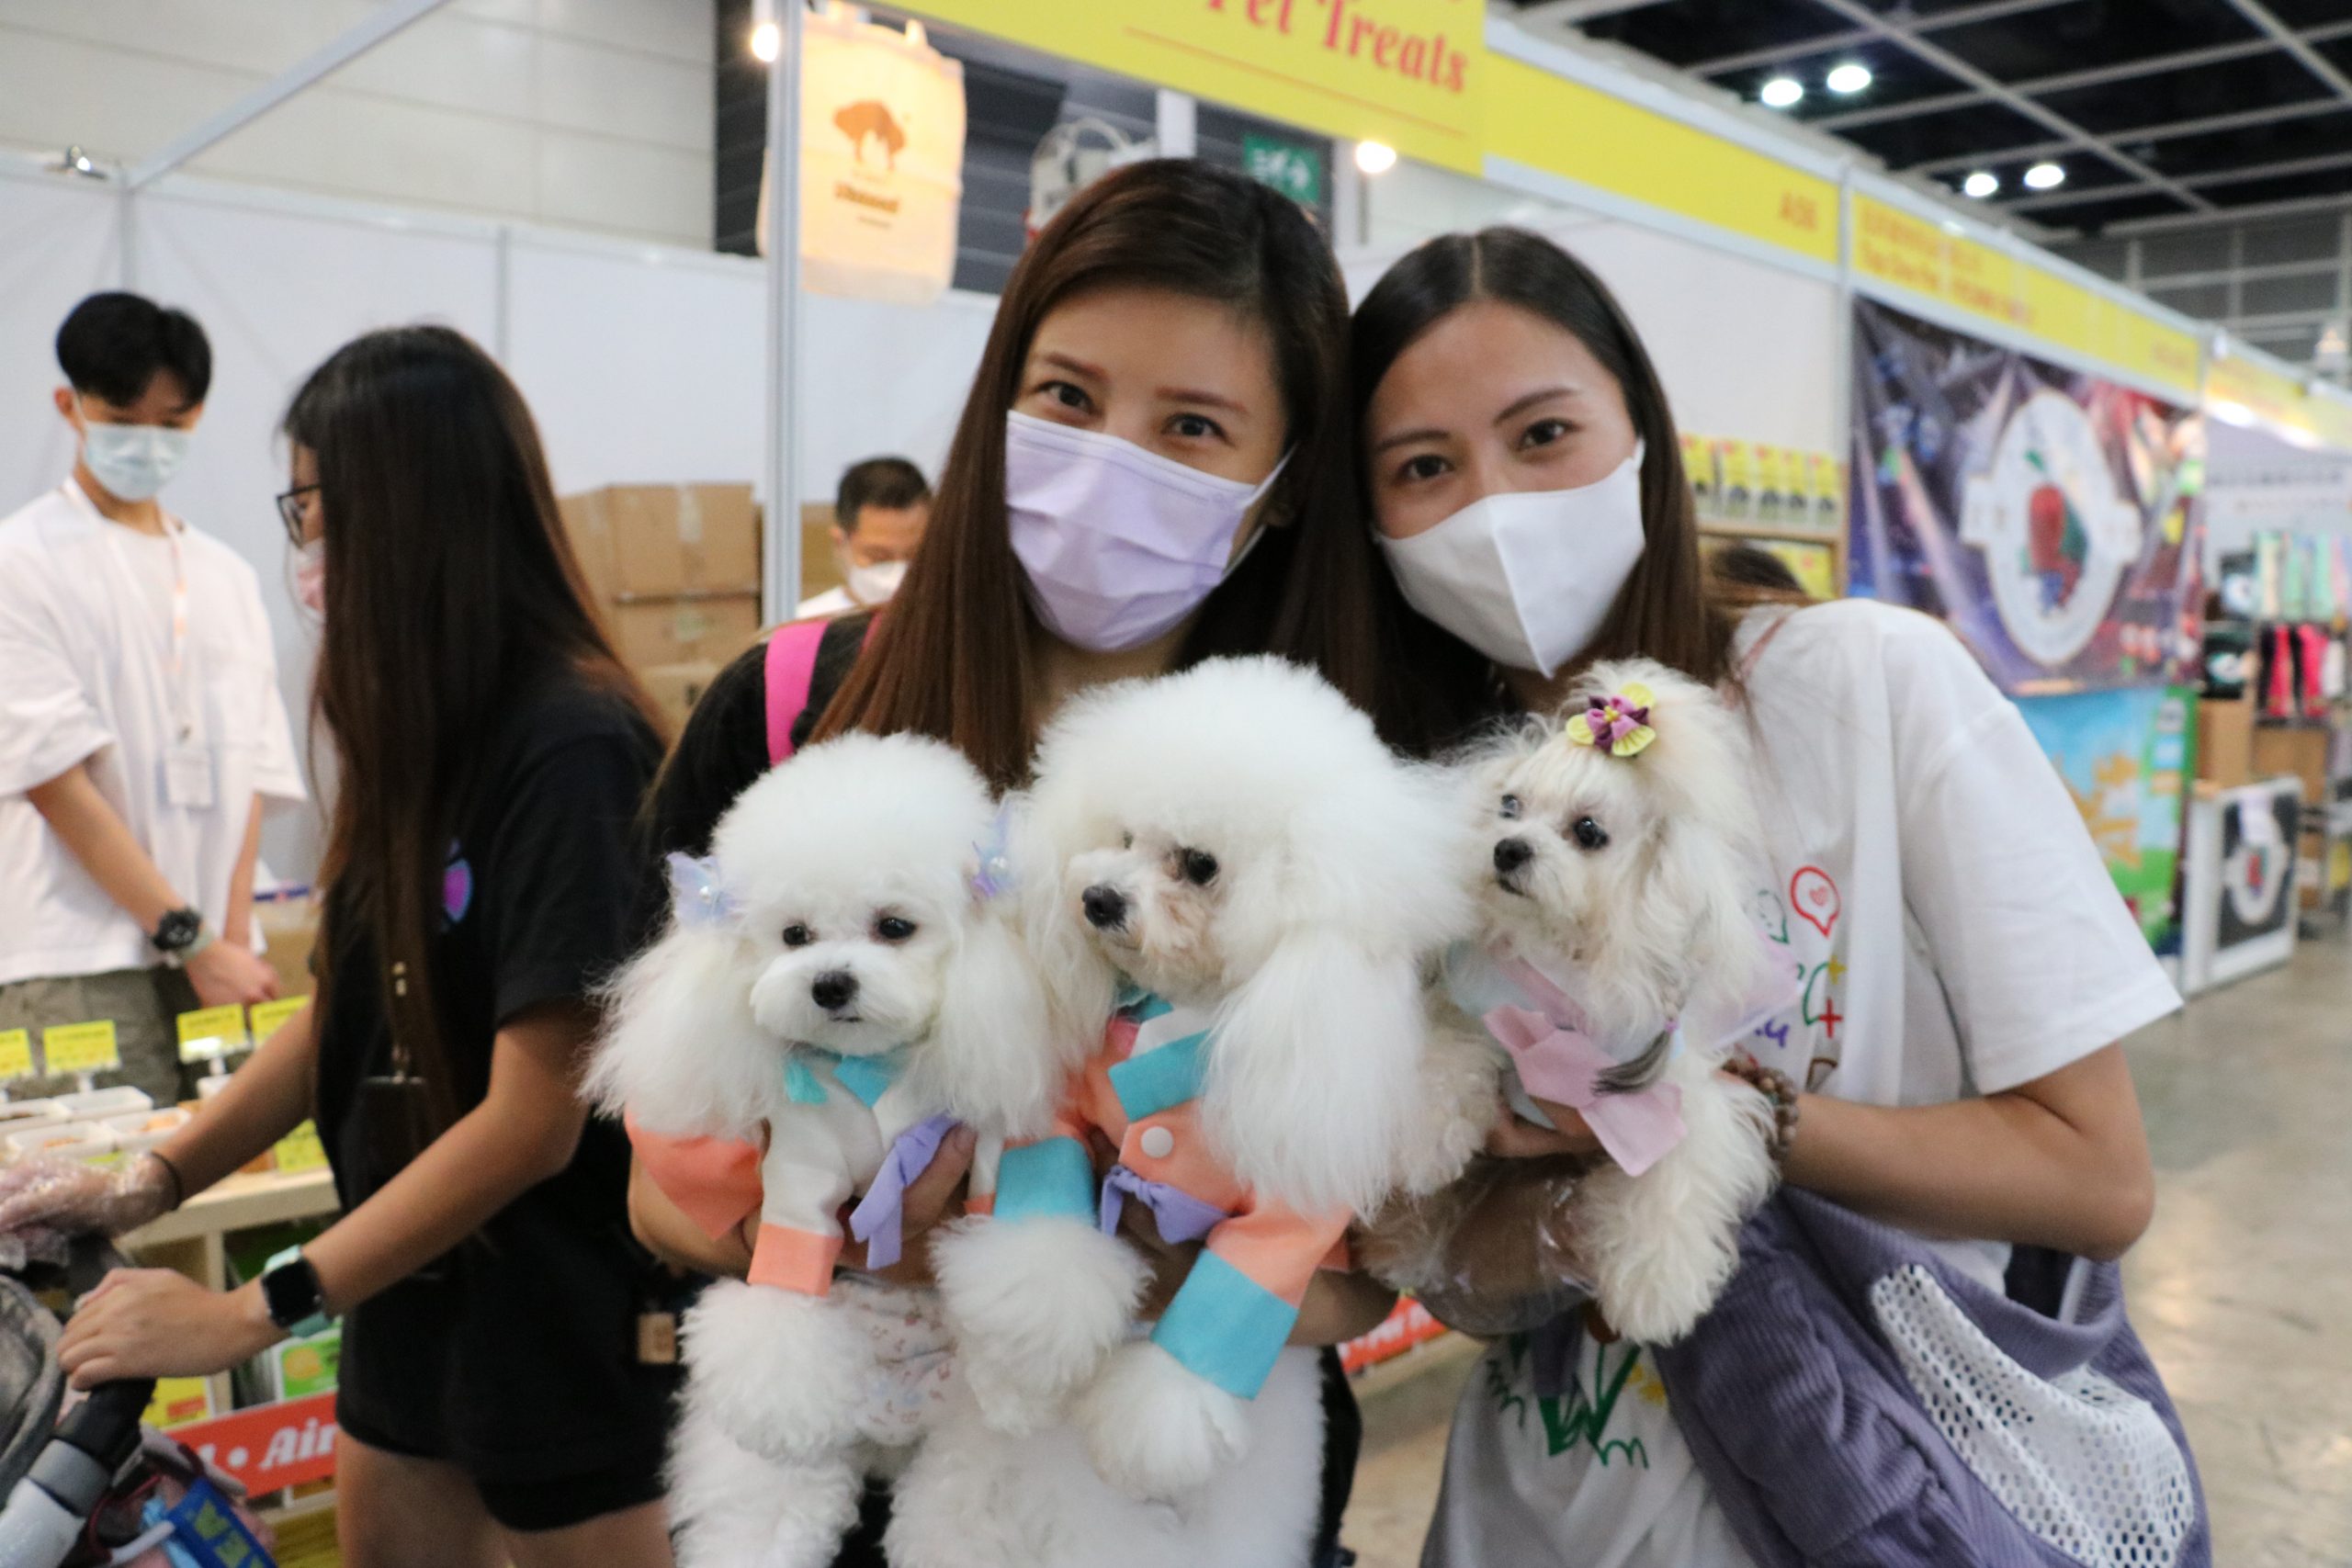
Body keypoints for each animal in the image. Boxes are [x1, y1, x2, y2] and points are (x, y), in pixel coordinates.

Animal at [588, 738, 1068, 1568]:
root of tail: (887, 1435)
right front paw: (782, 1398)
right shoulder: (801, 1172)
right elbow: (785, 1283)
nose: (830, 983)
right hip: (775, 1476)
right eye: (794, 935)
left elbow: (1012, 1249)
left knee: (957, 1515)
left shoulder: (989, 1150)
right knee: (758, 1517)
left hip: (961, 1448)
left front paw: (1021, 1375)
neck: (875, 1063)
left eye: (895, 925)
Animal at [893, 658, 1467, 1561]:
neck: (1194, 1007)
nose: (1097, 898)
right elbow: (1042, 1236)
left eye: (1199, 864)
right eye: (1124, 836)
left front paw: (1152, 1425)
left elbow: (1230, 1301)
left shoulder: (1290, 1215)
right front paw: (1035, 1329)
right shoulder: (1060, 1114)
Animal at [1392, 658, 1778, 1344]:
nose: (1508, 848)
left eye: (1589, 831)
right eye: (1509, 805)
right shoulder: (1474, 1003)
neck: (1560, 947)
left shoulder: (1673, 1100)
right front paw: (1427, 1142)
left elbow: (1677, 1179)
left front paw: (1658, 1293)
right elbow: (1447, 1055)